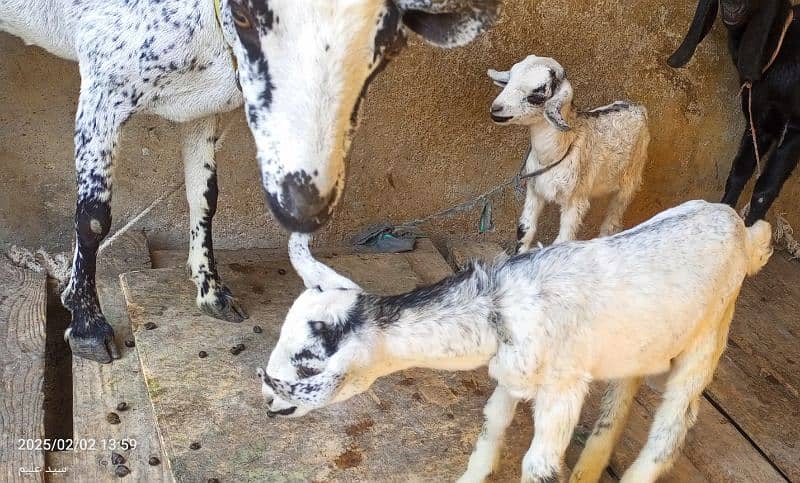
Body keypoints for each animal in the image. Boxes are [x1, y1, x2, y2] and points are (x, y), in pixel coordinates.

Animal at [0, 0, 500, 364]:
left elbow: (204, 197)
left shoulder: (205, 111)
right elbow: (93, 217)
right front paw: (87, 326)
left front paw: (211, 291)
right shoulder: (105, 87)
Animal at [260, 200, 772, 483]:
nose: (268, 403)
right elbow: (493, 423)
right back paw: (587, 472)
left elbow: (539, 466)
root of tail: (741, 228)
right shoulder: (511, 374)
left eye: (307, 364)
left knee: (674, 421)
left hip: (712, 331)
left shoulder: (562, 389)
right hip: (639, 339)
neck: (499, 307)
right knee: (620, 399)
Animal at [488, 56, 648, 251]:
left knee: (614, 217)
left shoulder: (575, 201)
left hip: (633, 172)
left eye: (537, 93)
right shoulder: (534, 190)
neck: (551, 157)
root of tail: (638, 107)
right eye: (509, 79)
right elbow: (525, 230)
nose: (496, 108)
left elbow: (563, 240)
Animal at [672, 0, 796, 227]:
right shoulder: (758, 123)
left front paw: (752, 228)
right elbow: (738, 172)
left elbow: (765, 188)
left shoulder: (794, 129)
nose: (732, 5)